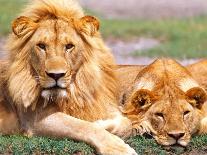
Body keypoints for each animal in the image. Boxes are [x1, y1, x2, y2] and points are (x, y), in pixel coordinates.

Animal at [0, 0, 137, 154]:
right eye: (41, 46)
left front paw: (101, 123)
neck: (74, 92)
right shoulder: (34, 119)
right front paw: (116, 147)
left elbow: (127, 122)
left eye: (69, 46)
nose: (56, 75)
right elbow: (83, 126)